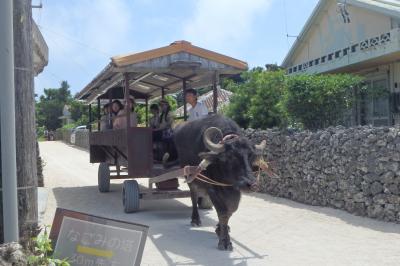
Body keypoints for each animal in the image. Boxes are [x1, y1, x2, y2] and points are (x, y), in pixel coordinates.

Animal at [173, 115, 264, 251]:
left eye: (251, 156)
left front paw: (220, 229)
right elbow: (222, 213)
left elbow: (230, 210)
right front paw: (225, 241)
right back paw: (195, 219)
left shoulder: (234, 190)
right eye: (231, 157)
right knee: (193, 196)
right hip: (190, 177)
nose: (252, 185)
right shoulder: (212, 189)